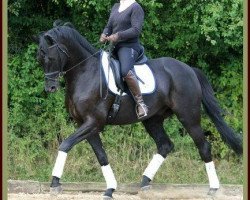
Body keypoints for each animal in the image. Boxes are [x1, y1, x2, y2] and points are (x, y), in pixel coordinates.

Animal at [34, 22, 241, 199]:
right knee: (165, 145)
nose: (50, 88)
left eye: (50, 57)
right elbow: (101, 155)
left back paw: (213, 189)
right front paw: (110, 189)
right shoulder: (86, 124)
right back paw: (144, 182)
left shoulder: (93, 122)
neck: (86, 73)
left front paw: (55, 183)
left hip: (188, 116)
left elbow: (65, 144)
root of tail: (189, 69)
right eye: (40, 59)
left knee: (203, 146)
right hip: (152, 119)